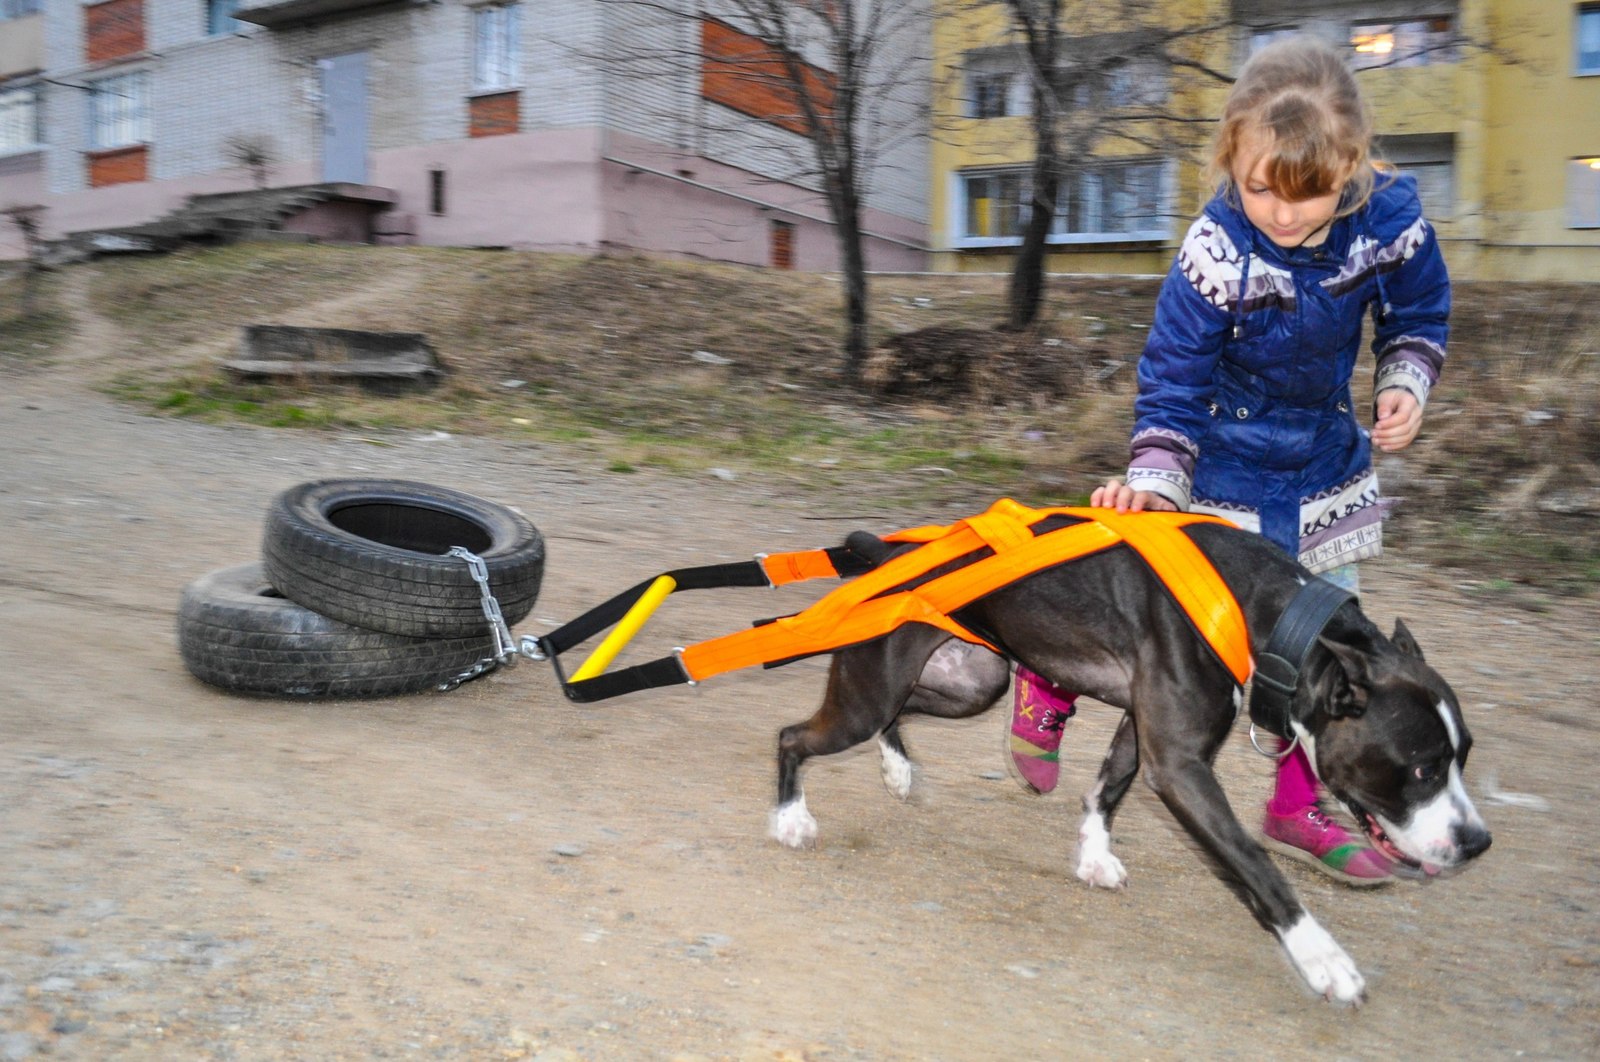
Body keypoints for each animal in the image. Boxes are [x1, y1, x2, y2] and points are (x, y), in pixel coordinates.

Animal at [761, 518, 1484, 998]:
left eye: (1463, 757)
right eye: (1422, 767)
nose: (1478, 842)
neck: (1268, 614)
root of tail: (886, 553)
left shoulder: (1145, 731)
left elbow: (1109, 786)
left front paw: (1093, 855)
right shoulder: (1183, 766)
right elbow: (1255, 865)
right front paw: (1321, 956)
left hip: (972, 683)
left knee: (895, 719)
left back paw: (898, 770)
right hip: (870, 695)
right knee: (793, 737)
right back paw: (791, 819)